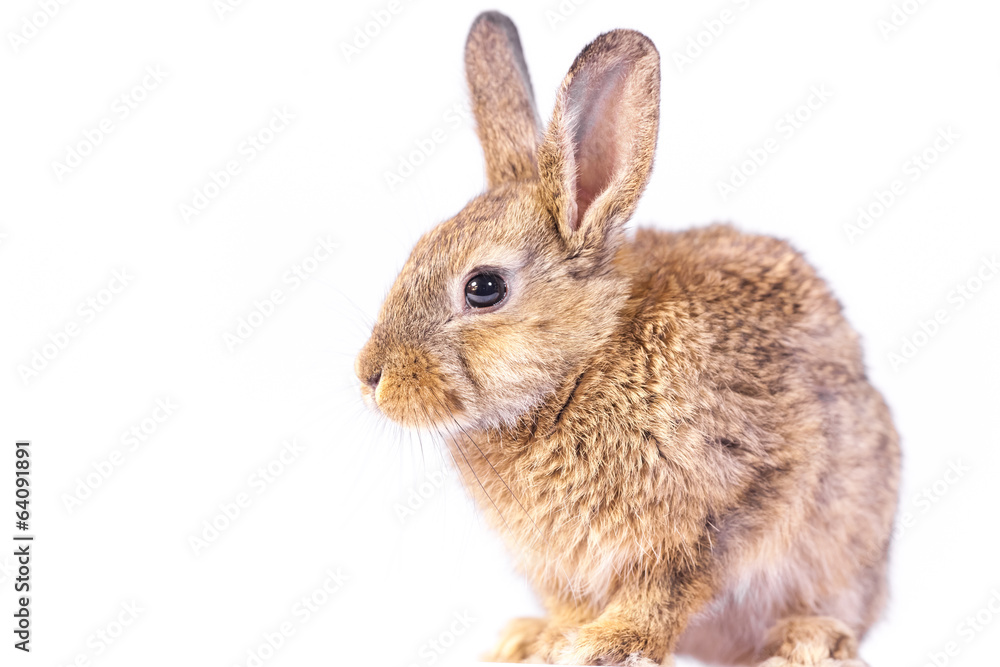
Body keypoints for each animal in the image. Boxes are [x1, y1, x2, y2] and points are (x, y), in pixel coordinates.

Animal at [355, 11, 900, 667]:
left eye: (484, 287)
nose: (369, 376)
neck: (584, 368)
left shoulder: (730, 504)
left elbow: (669, 589)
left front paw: (607, 646)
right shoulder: (561, 569)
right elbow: (571, 604)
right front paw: (543, 640)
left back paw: (809, 640)